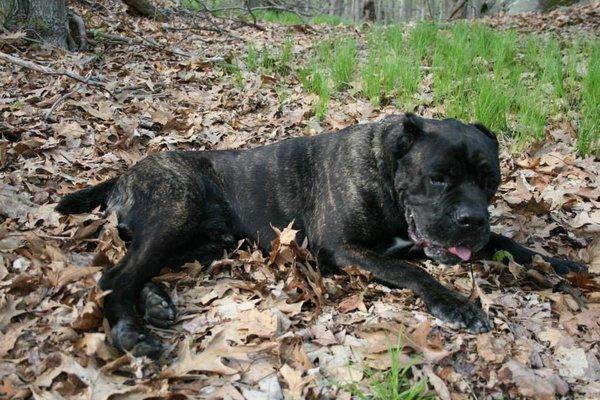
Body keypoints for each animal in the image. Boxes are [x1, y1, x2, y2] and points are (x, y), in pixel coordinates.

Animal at [57, 114, 584, 358]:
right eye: (438, 178)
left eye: (489, 181)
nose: (473, 218)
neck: (386, 169)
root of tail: (128, 171)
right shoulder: (345, 248)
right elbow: (412, 270)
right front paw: (457, 304)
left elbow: (510, 244)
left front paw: (562, 264)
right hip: (175, 211)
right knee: (114, 276)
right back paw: (131, 330)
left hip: (201, 241)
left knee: (136, 267)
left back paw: (156, 302)